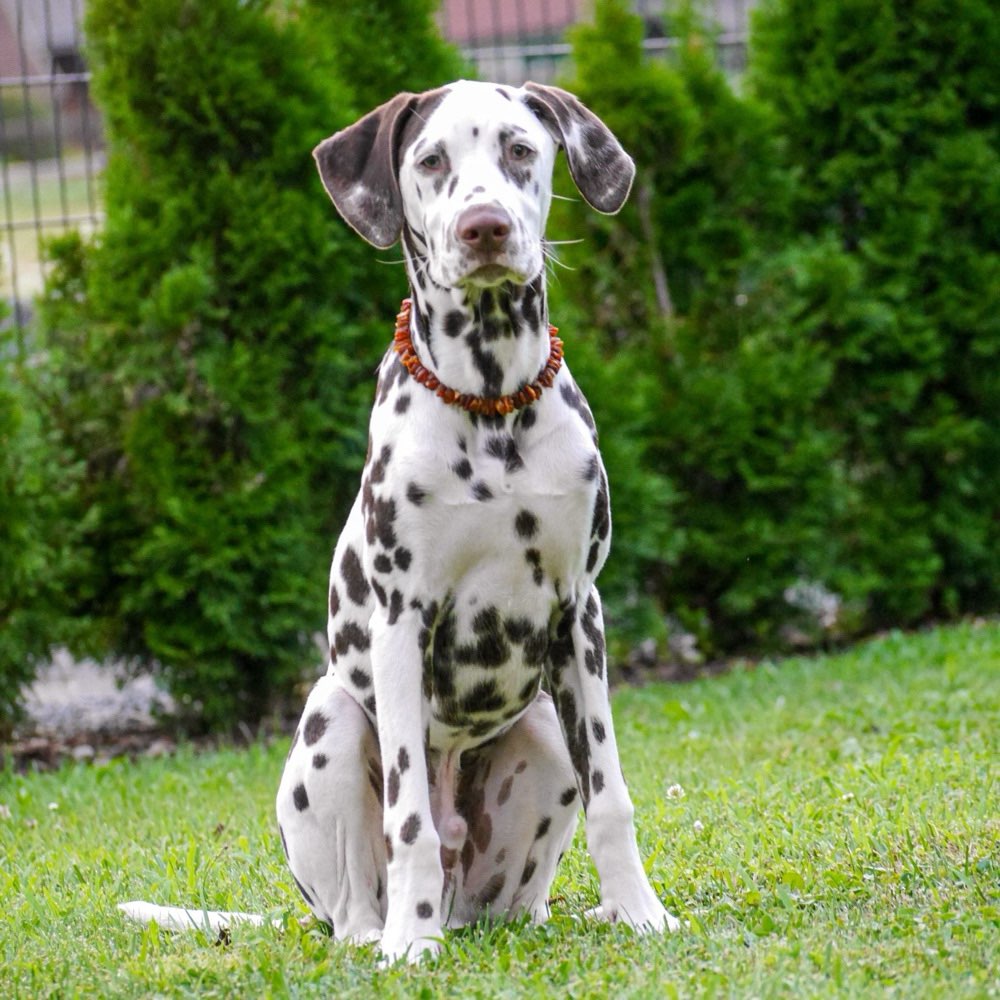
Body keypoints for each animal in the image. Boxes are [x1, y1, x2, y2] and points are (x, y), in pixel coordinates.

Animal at [274, 80, 680, 960]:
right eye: (431, 161)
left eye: (520, 149)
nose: (484, 226)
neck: (493, 406)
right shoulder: (401, 620)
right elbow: (409, 818)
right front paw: (409, 944)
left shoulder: (580, 611)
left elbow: (612, 797)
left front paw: (641, 911)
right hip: (331, 720)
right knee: (361, 894)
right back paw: (390, 931)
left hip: (545, 733)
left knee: (522, 893)